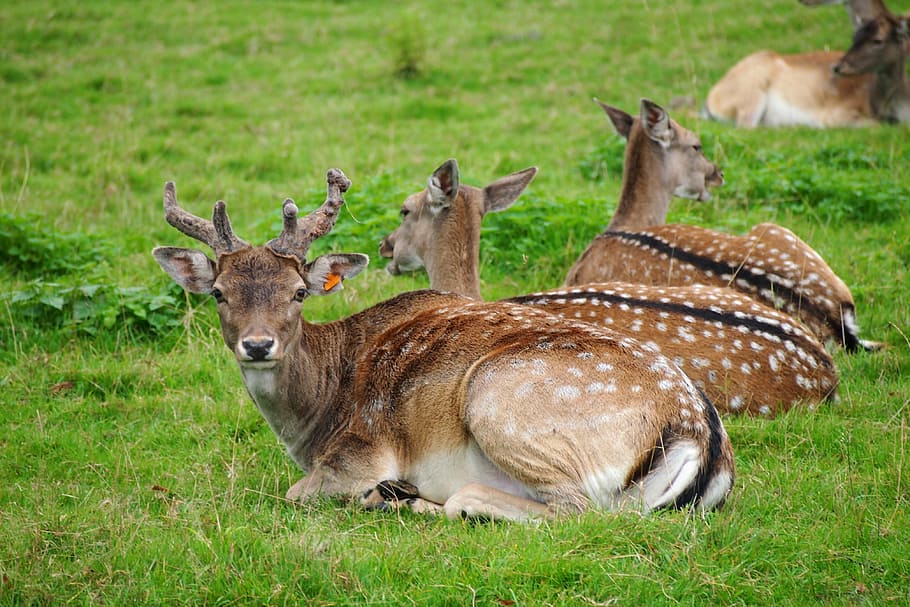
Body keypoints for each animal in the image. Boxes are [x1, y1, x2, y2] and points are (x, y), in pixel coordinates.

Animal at [152, 169, 735, 521]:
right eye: (220, 293)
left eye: (298, 292)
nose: (257, 345)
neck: (314, 421)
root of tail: (697, 434)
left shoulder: (361, 449)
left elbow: (297, 493)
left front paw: (385, 491)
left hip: (502, 403)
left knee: (573, 510)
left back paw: (411, 498)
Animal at [704, 3, 910, 126]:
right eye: (854, 36)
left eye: (878, 40)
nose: (839, 67)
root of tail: (710, 100)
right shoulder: (837, 115)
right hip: (750, 97)